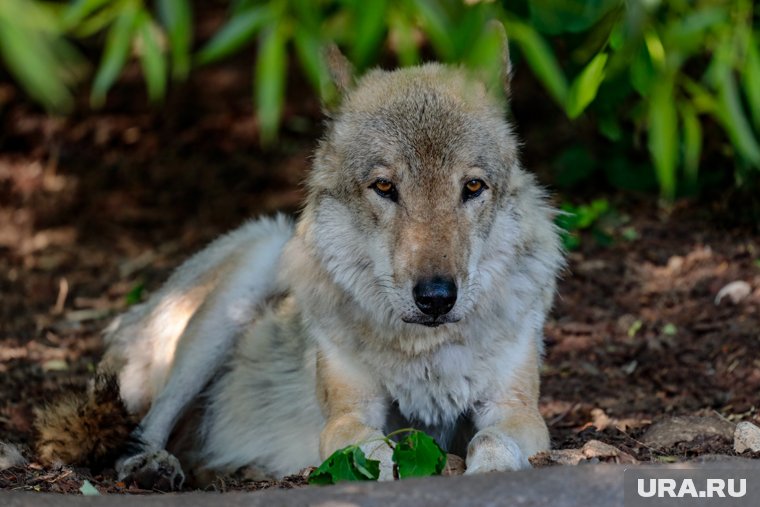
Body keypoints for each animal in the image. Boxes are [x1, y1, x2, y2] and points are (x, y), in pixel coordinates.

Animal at [34, 33, 564, 490]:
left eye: (472, 187)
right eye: (384, 187)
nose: (436, 298)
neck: (426, 355)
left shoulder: (517, 409)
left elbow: (491, 439)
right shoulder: (347, 416)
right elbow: (373, 453)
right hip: (255, 260)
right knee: (139, 428)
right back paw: (151, 465)